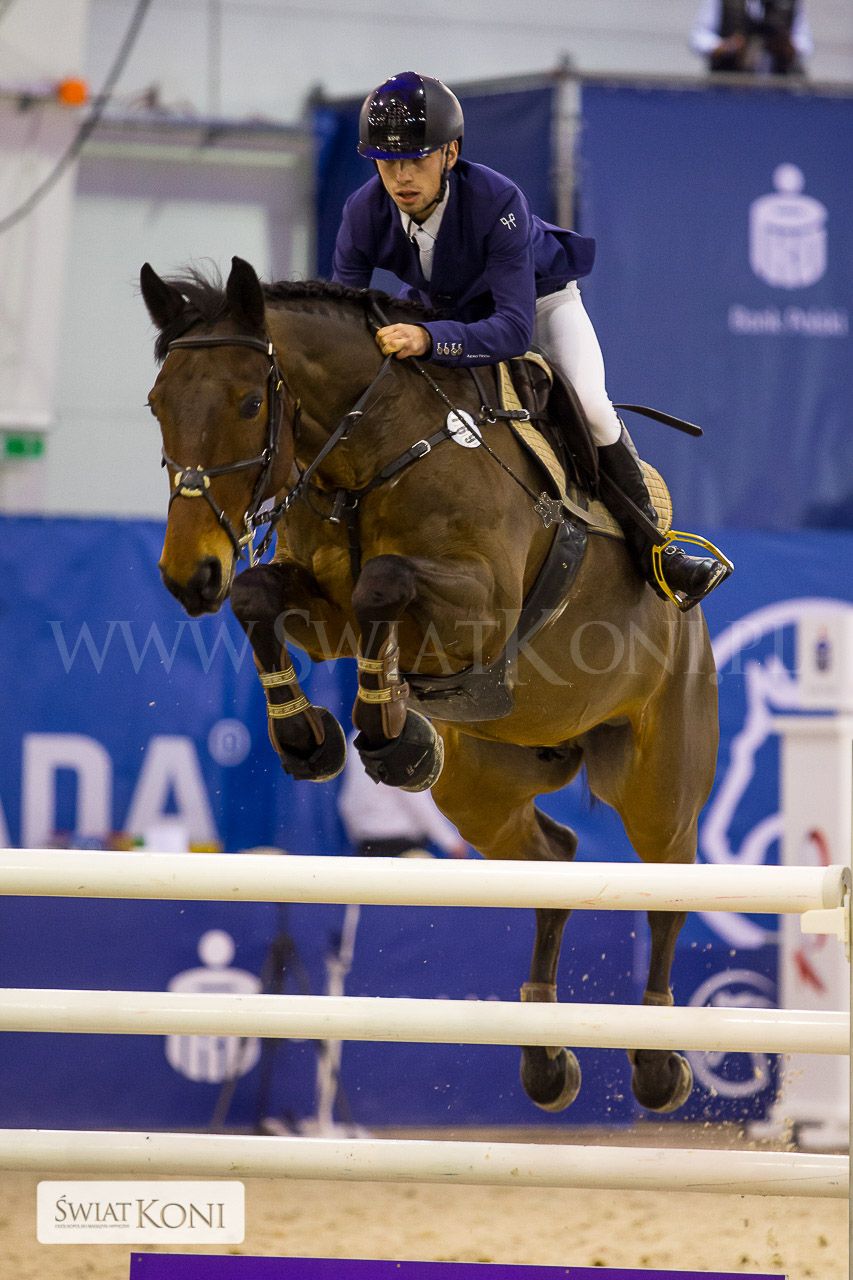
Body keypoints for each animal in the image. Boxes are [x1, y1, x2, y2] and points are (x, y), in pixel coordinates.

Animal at [141, 254, 719, 1116]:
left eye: (249, 402)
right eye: (157, 404)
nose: (189, 576)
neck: (369, 454)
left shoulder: (483, 609)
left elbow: (383, 582)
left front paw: (390, 731)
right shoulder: (323, 618)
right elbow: (264, 597)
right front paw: (316, 737)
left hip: (660, 780)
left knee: (666, 885)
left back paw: (657, 1061)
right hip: (483, 786)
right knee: (552, 860)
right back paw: (544, 1056)